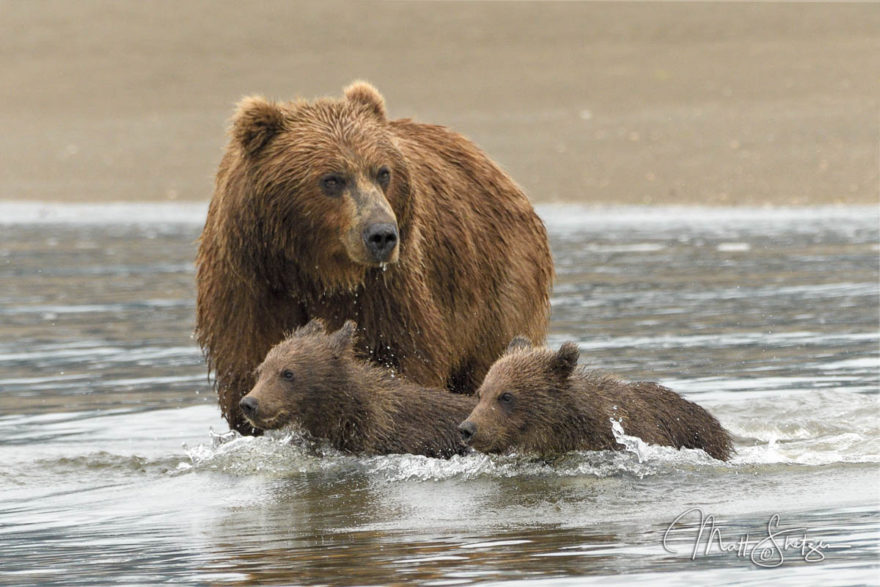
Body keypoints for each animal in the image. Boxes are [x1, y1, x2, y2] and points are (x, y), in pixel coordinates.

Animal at [198, 81, 552, 432]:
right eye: (331, 179)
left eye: (383, 172)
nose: (381, 234)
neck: (314, 272)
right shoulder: (253, 285)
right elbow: (247, 363)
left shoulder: (386, 291)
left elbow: (402, 358)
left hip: (497, 286)